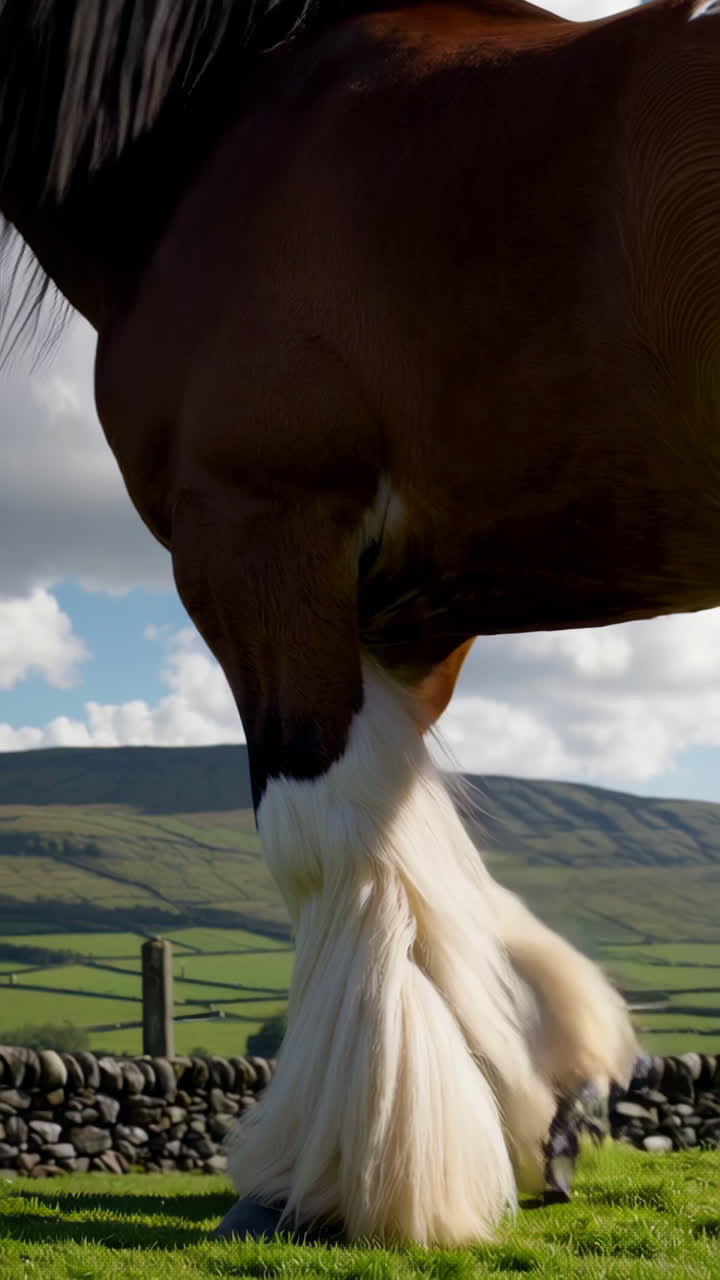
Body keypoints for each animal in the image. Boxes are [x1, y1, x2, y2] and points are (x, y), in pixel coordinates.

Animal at [5, 0, 719, 1248]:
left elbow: (324, 834)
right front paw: (540, 1089)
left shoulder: (261, 527)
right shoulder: (415, 609)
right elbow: (420, 842)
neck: (235, 119)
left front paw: (339, 1173)